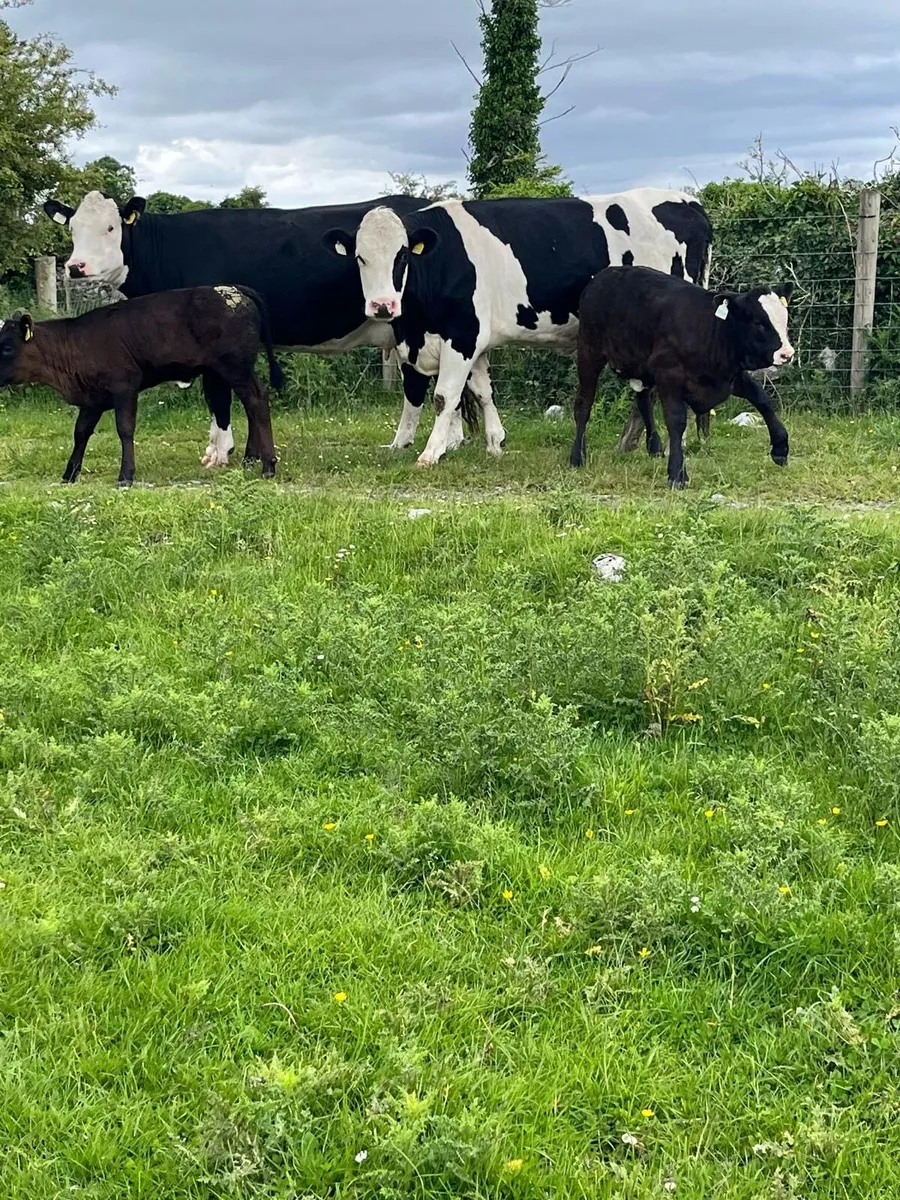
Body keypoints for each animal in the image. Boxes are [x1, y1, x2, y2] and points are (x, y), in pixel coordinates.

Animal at [0, 286, 280, 486]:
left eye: (7, 347)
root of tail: (233, 289)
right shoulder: (93, 399)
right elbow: (80, 433)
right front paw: (69, 474)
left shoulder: (124, 386)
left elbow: (125, 429)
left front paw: (125, 475)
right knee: (251, 405)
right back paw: (250, 460)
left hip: (235, 367)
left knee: (257, 400)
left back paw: (268, 466)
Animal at [42, 191, 481, 462]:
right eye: (72, 228)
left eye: (111, 228)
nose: (76, 267)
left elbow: (217, 396)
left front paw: (219, 453)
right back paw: (448, 442)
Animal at [324, 189, 713, 465]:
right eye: (360, 257)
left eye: (402, 255)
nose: (382, 306)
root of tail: (688, 202)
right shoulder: (470, 340)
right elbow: (483, 391)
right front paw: (495, 443)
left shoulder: (462, 334)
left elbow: (444, 396)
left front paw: (431, 453)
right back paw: (636, 444)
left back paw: (668, 445)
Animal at [569, 266, 793, 488]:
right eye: (758, 323)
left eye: (784, 320)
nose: (787, 354)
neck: (712, 331)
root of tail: (605, 274)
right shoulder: (668, 375)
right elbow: (676, 421)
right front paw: (677, 474)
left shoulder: (729, 377)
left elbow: (763, 400)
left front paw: (780, 448)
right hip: (589, 351)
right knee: (584, 403)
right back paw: (577, 456)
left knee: (643, 401)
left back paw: (654, 448)